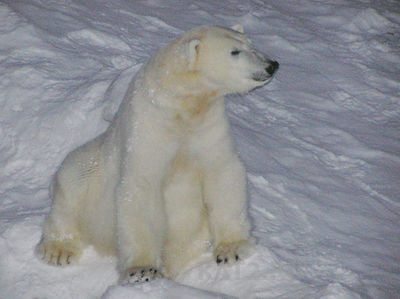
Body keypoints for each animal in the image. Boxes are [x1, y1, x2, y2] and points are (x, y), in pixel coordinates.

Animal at [35, 25, 278, 284]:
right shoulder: (148, 125)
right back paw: (58, 249)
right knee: (73, 183)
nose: (271, 65)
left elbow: (222, 172)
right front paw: (142, 270)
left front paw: (232, 250)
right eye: (234, 51)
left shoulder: (209, 126)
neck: (183, 106)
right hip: (89, 169)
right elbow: (141, 188)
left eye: (251, 43)